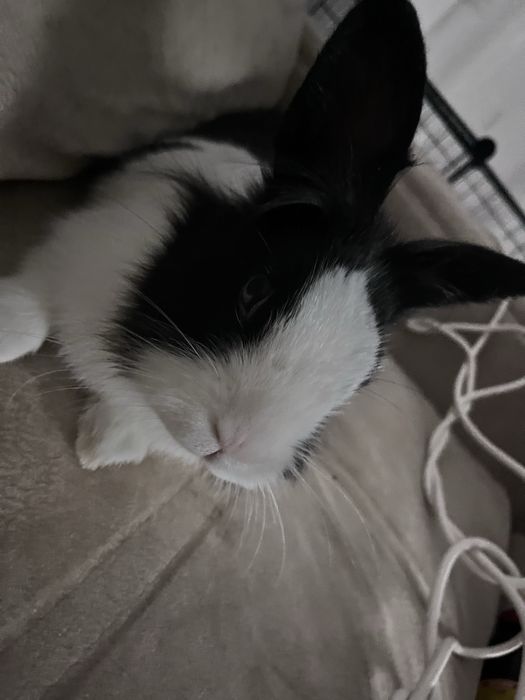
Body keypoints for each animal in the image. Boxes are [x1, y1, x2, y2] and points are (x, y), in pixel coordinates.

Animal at [2, 0, 525, 488]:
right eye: (254, 291)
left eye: (366, 376)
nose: (231, 445)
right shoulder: (81, 243)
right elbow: (32, 311)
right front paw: (8, 338)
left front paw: (104, 447)